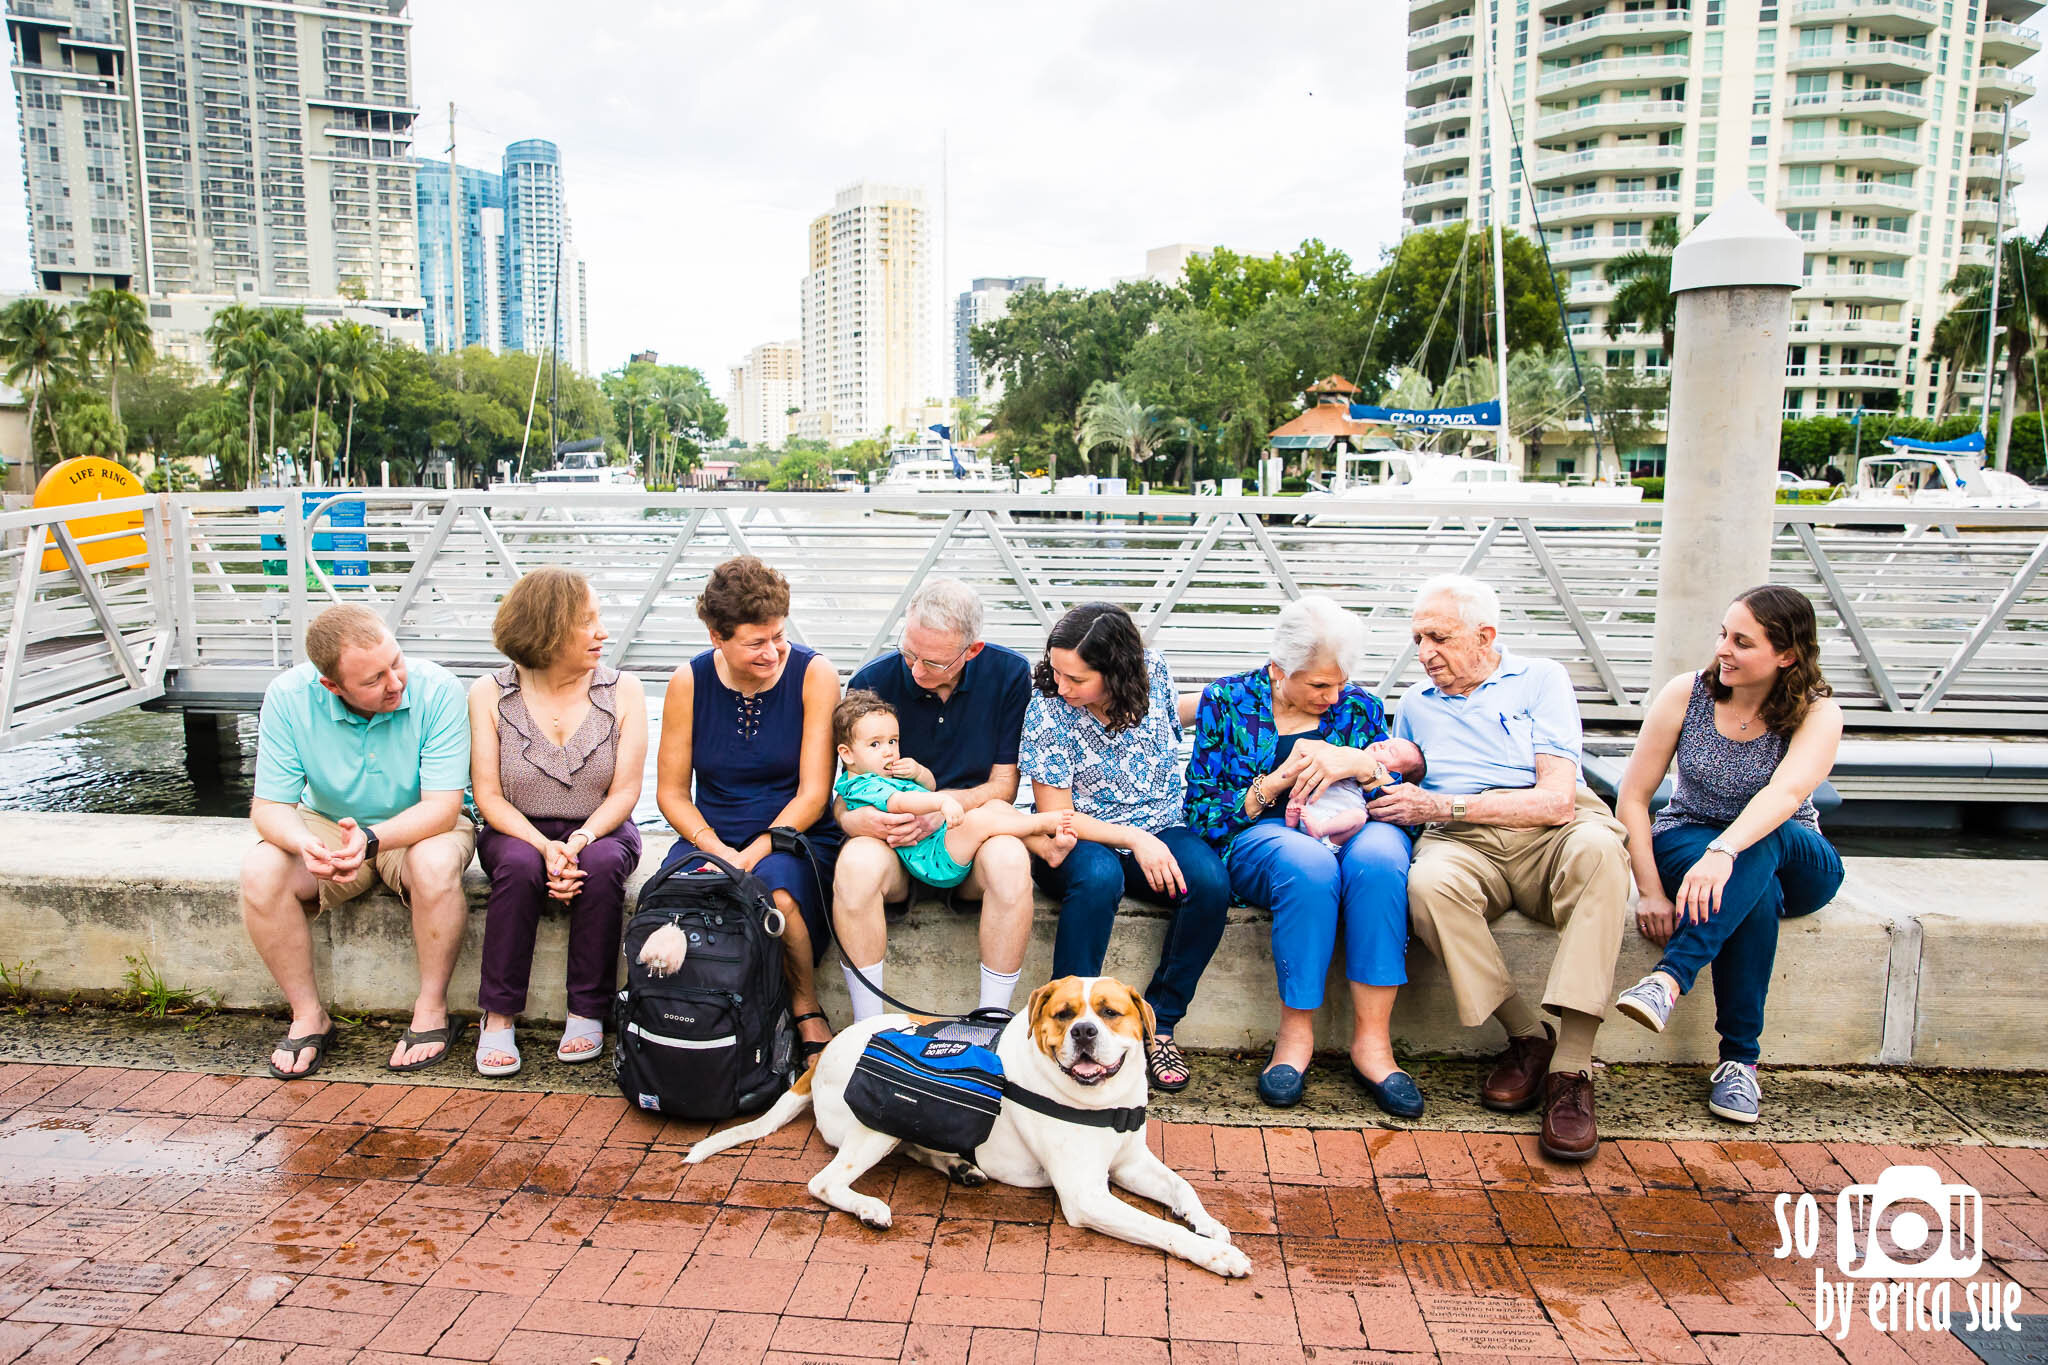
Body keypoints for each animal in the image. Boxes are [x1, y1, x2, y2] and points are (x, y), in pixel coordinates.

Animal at [684, 978, 1245, 1277]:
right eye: (1064, 1014)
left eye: (1110, 1012)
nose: (1085, 1032)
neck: (1100, 1101)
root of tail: (819, 1059)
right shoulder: (1088, 1197)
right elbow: (1160, 1229)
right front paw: (1217, 1254)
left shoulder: (1132, 1163)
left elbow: (1183, 1188)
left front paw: (1209, 1224)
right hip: (878, 1125)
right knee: (825, 1182)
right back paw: (869, 1207)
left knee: (917, 1148)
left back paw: (959, 1166)